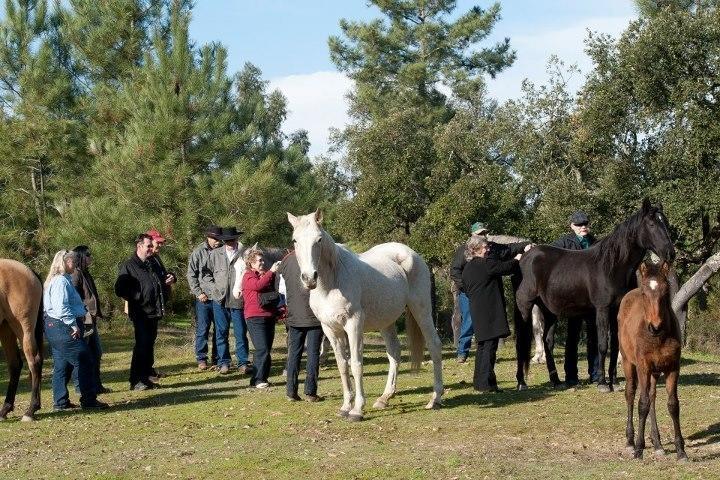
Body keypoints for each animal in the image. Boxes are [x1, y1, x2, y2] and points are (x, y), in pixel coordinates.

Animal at [0, 258, 43, 420]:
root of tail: (28, 270)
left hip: (23, 326)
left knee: (34, 361)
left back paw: (30, 411)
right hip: (6, 328)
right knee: (15, 364)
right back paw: (5, 410)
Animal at [286, 210, 444, 420]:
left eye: (319, 239)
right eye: (295, 240)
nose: (309, 278)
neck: (332, 282)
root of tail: (411, 253)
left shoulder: (353, 325)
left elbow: (356, 364)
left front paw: (357, 410)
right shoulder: (331, 329)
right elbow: (342, 365)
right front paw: (345, 406)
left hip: (422, 310)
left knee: (434, 345)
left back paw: (435, 398)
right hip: (386, 321)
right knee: (394, 353)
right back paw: (384, 398)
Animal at [516, 201, 676, 392]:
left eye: (665, 223)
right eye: (651, 224)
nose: (671, 253)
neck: (612, 266)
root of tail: (524, 257)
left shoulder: (617, 310)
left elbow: (615, 345)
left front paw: (614, 381)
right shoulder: (602, 309)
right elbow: (602, 345)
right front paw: (603, 383)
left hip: (549, 311)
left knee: (548, 341)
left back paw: (556, 381)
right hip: (525, 307)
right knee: (522, 341)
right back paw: (522, 382)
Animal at [620, 262, 688, 462]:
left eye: (666, 291)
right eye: (644, 293)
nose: (655, 326)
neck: (658, 338)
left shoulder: (673, 368)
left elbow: (673, 405)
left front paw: (681, 451)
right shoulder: (643, 367)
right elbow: (642, 404)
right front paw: (639, 449)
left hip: (655, 373)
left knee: (652, 396)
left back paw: (657, 444)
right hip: (628, 362)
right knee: (631, 394)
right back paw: (630, 441)